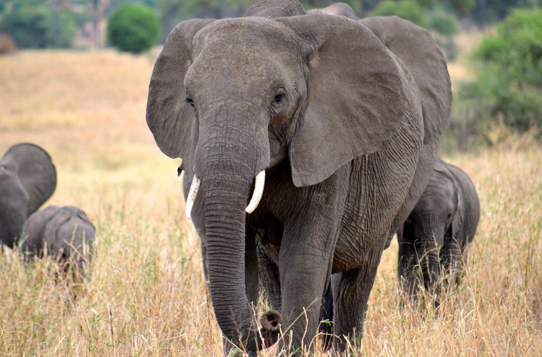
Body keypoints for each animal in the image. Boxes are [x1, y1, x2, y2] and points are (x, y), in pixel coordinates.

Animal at [147, 0, 452, 354]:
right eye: (190, 101)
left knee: (354, 283)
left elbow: (303, 259)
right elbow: (243, 259)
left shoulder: (328, 146)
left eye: (278, 98)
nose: (269, 321)